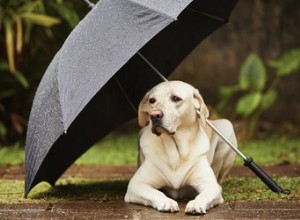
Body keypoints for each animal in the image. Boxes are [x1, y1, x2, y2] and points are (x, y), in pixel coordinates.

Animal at [124, 81, 237, 215]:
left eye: (175, 98)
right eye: (152, 100)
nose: (154, 115)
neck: (176, 151)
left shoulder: (209, 185)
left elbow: (204, 194)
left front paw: (196, 204)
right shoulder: (136, 184)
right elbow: (154, 192)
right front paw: (166, 202)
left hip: (227, 127)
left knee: (218, 180)